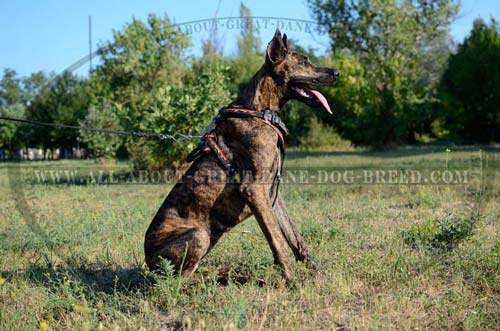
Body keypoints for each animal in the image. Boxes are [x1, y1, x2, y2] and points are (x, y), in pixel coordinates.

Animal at [145, 30, 340, 282]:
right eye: (305, 61)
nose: (337, 73)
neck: (261, 113)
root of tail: (148, 261)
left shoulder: (272, 195)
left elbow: (294, 238)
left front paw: (317, 273)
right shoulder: (254, 189)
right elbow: (278, 242)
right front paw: (293, 281)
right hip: (198, 235)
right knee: (179, 280)